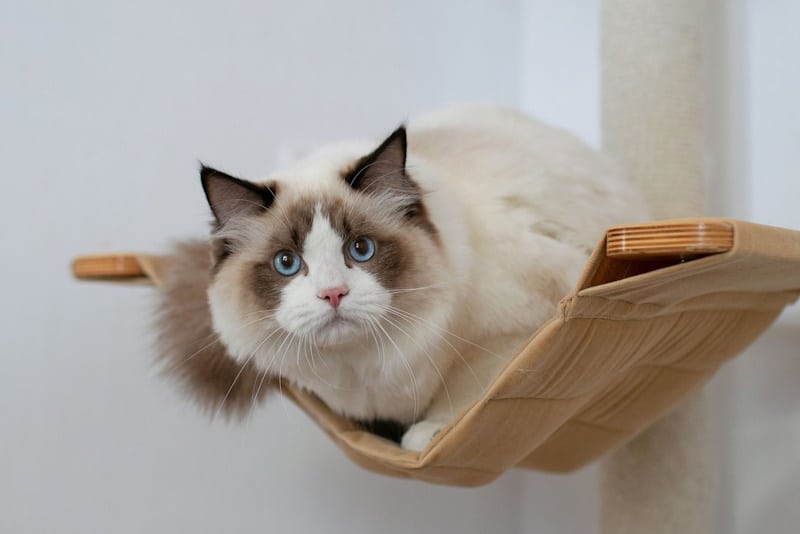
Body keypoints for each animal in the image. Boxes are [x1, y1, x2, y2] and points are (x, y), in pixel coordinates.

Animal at [156, 104, 648, 452]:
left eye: (361, 250)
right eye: (287, 263)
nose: (333, 294)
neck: (362, 372)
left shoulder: (519, 333)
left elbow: (470, 388)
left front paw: (427, 433)